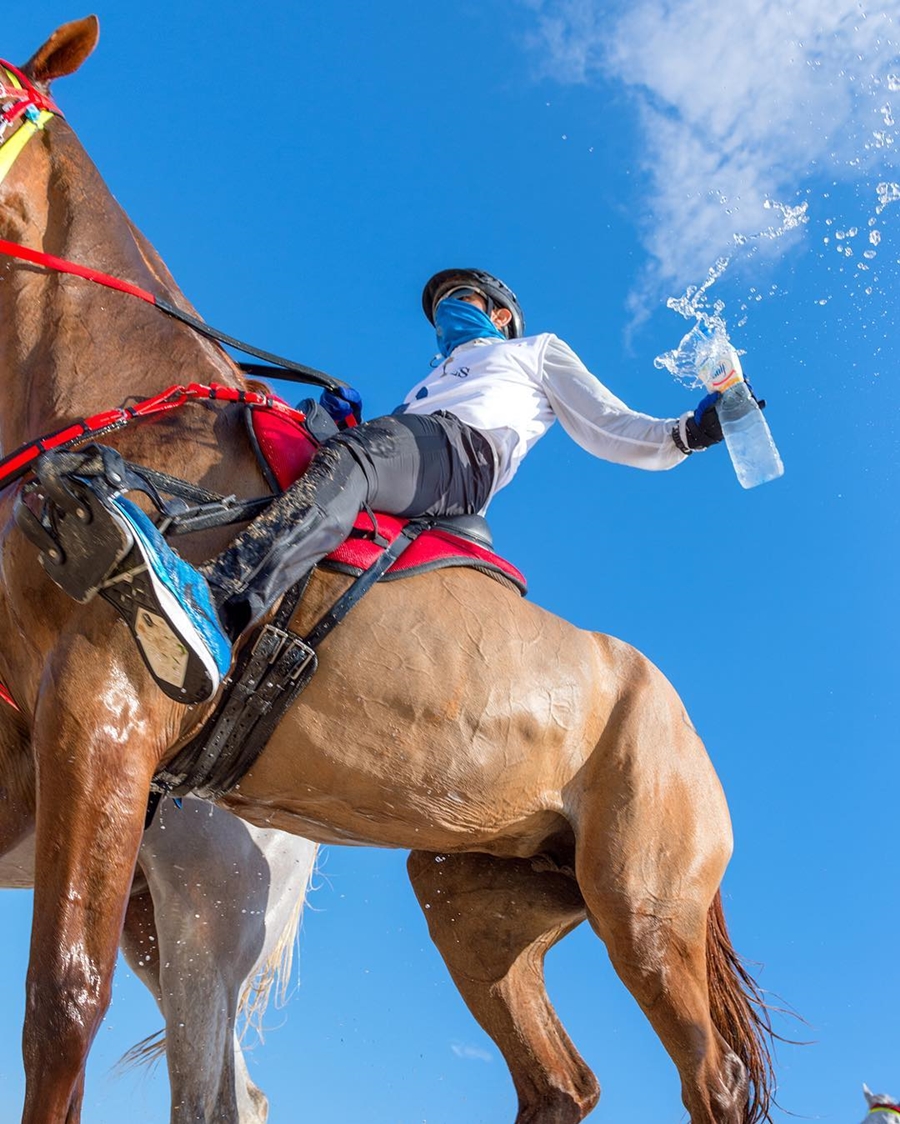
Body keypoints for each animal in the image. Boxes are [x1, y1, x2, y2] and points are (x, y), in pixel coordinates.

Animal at [0, 17, 773, 1124]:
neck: (125, 399)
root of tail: (687, 729)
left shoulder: (104, 708)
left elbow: (63, 999)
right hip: (473, 895)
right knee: (558, 1081)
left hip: (647, 908)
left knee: (709, 1078)